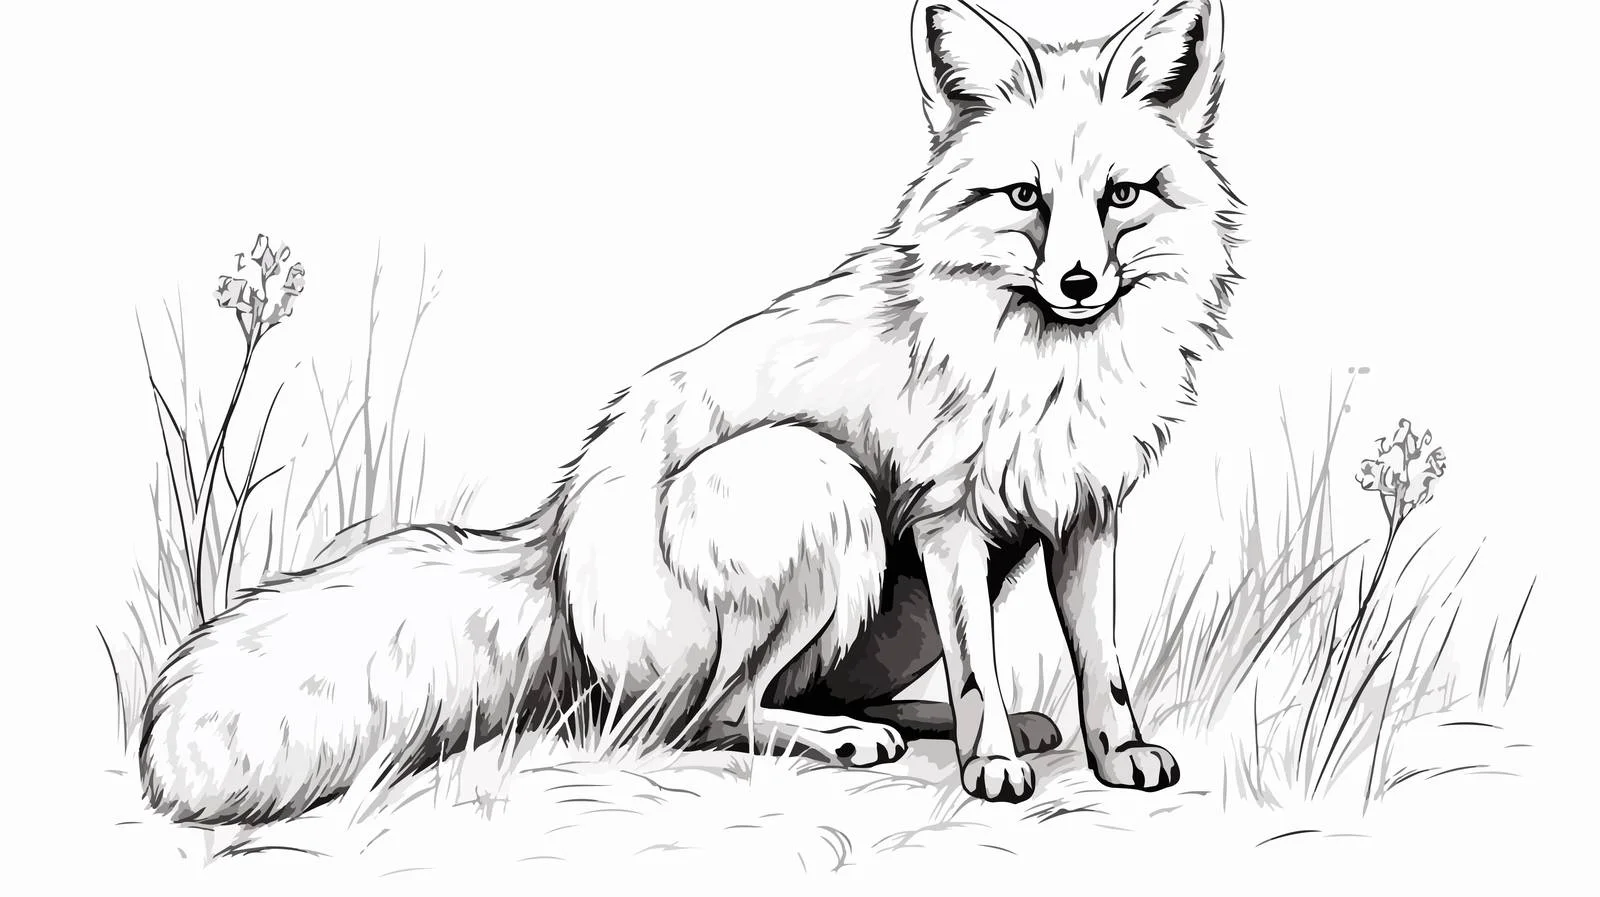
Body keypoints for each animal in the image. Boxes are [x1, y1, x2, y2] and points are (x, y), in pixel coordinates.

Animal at [139, 0, 1242, 823]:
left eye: (1122, 195)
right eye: (1022, 197)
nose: (1078, 283)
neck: (1052, 369)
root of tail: (556, 540)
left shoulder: (1085, 512)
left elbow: (1102, 664)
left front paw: (1116, 753)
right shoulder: (950, 521)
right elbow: (981, 670)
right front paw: (991, 764)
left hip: (892, 601)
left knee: (793, 688)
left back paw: (936, 722)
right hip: (822, 491)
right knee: (704, 715)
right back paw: (855, 740)